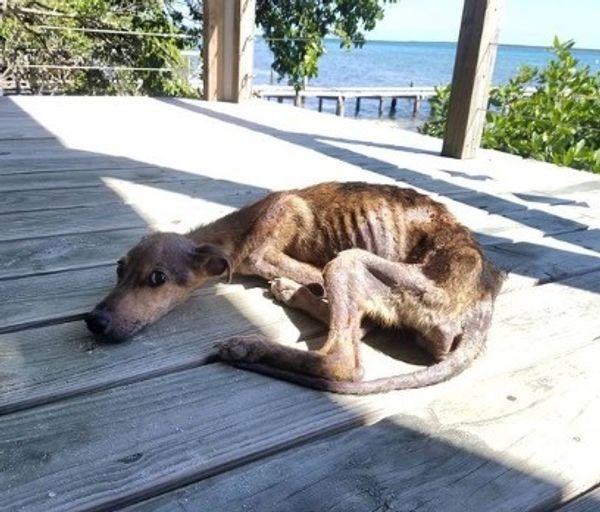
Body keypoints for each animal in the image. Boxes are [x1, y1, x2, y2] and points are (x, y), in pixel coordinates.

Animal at [85, 182, 506, 394]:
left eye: (157, 278)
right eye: (119, 269)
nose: (94, 320)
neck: (243, 225)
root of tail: (482, 300)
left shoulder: (263, 253)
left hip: (350, 262)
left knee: (343, 359)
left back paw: (256, 337)